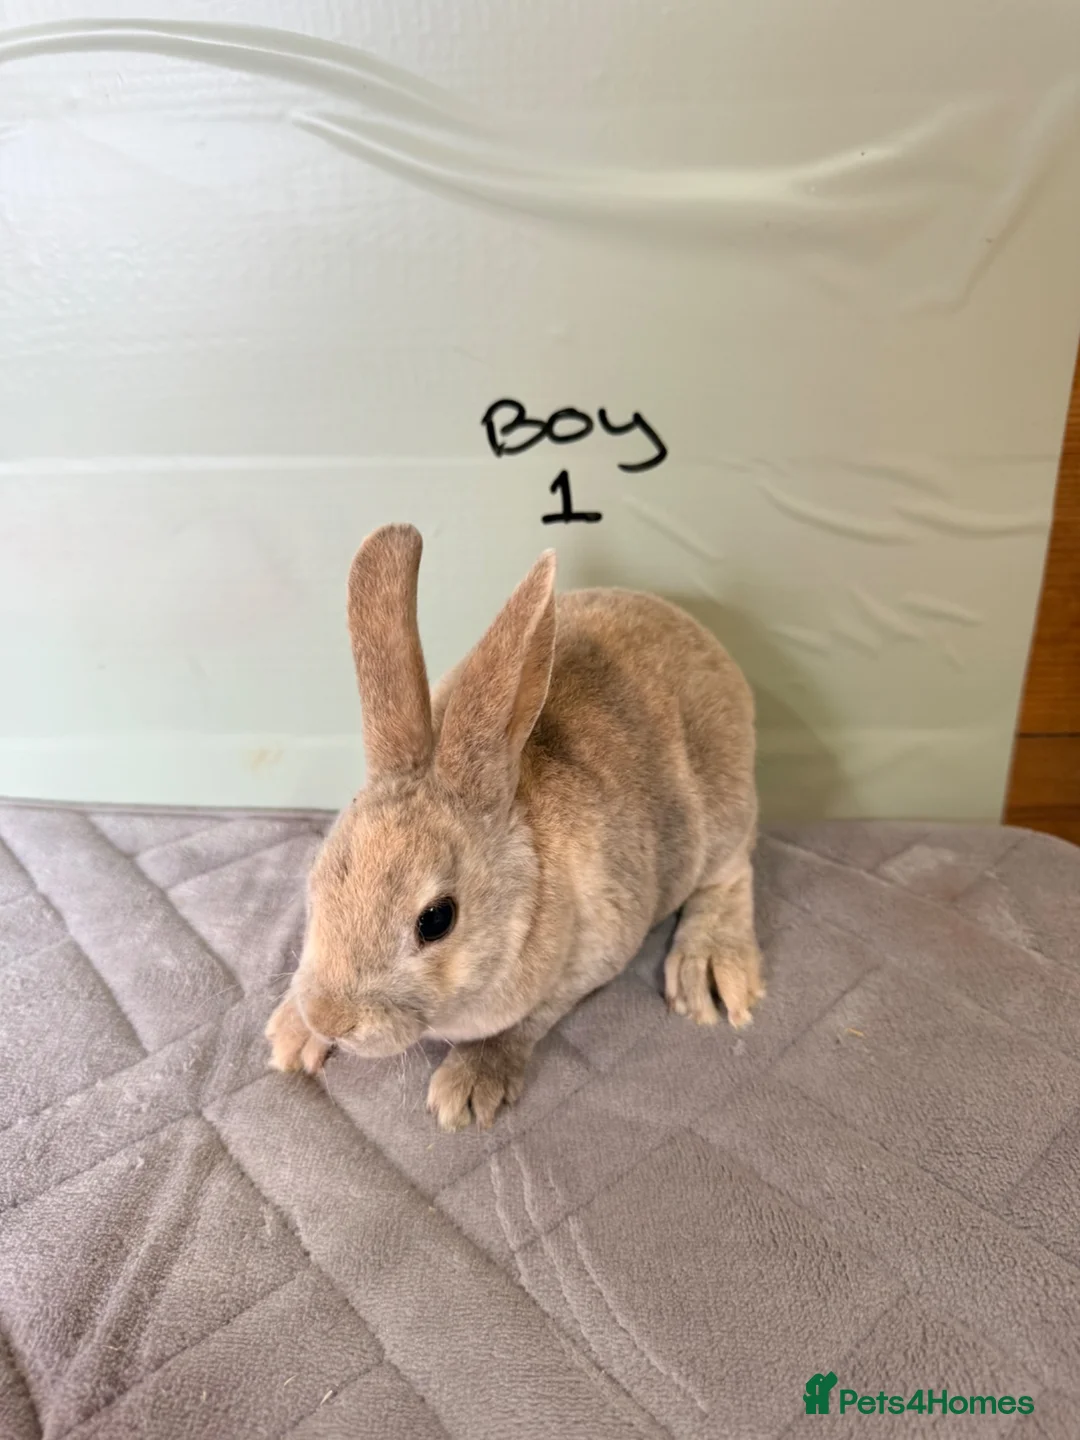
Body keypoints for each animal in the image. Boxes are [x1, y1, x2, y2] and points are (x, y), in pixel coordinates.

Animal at [266, 524, 764, 1130]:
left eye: (436, 920)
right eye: (319, 878)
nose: (331, 1018)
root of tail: (700, 633)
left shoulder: (594, 954)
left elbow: (524, 1023)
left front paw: (466, 1088)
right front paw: (290, 1035)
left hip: (721, 819)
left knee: (732, 874)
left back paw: (709, 972)